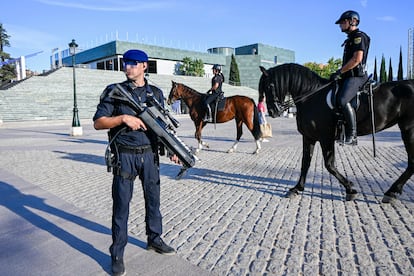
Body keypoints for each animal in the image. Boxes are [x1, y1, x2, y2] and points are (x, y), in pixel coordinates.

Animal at [258, 63, 414, 204]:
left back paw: (391, 192)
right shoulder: (309, 137)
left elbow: (329, 165)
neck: (311, 97)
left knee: (412, 163)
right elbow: (305, 162)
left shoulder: (325, 137)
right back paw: (392, 191)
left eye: (269, 86)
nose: (272, 111)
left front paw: (350, 189)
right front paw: (297, 188)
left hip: (408, 129)